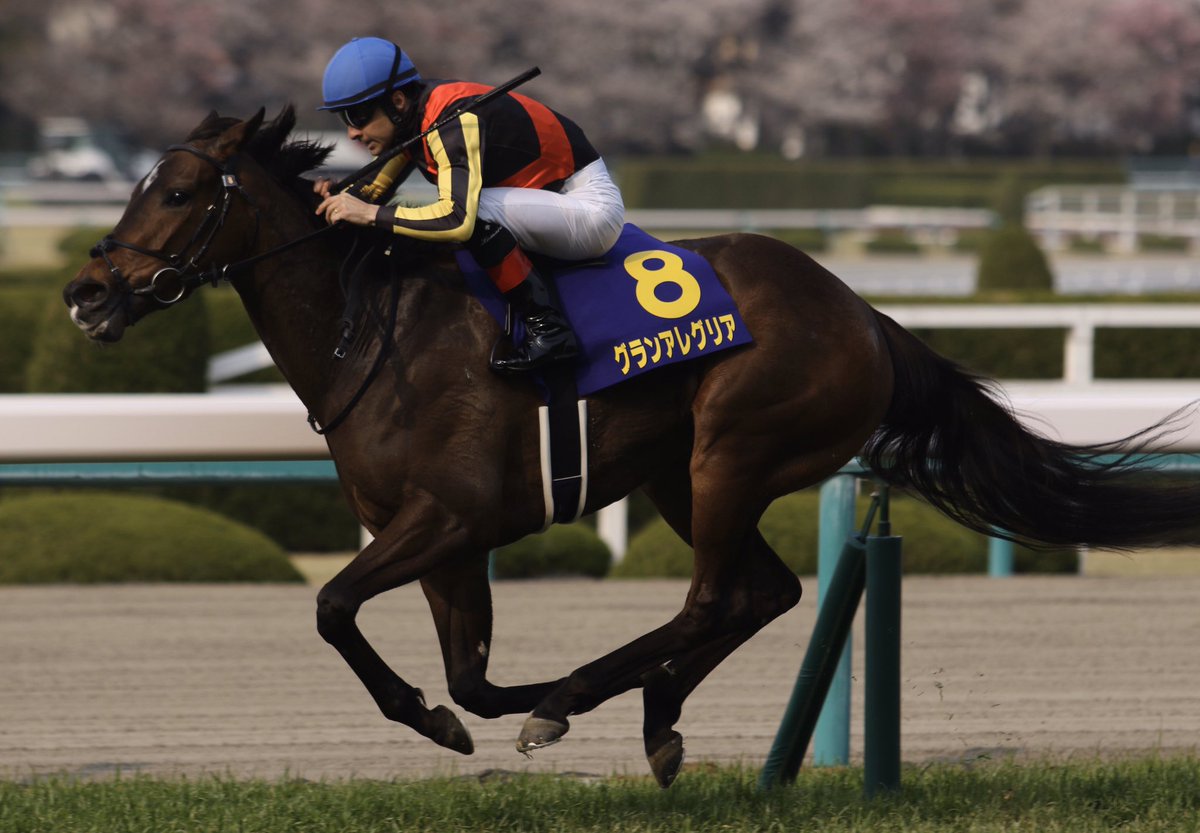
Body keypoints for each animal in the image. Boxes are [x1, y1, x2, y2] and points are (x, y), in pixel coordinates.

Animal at [63, 106, 1200, 788]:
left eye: (176, 193)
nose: (85, 291)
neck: (372, 328)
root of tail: (867, 315)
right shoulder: (437, 537)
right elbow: (467, 675)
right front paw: (472, 713)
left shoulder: (451, 516)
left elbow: (333, 605)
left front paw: (504, 709)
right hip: (679, 475)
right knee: (764, 591)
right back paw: (651, 711)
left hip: (731, 449)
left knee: (712, 597)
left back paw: (597, 696)